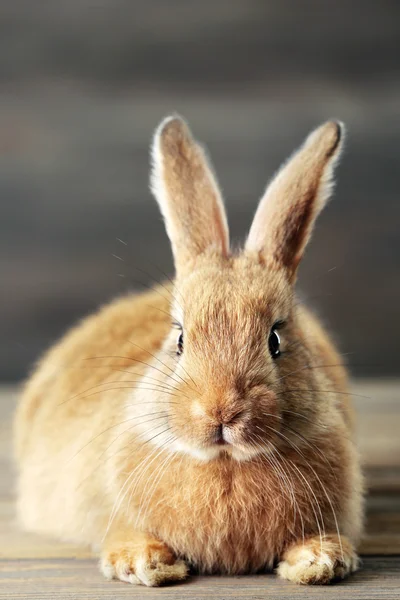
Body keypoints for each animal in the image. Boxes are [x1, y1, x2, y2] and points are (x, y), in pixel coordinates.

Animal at [13, 116, 362, 584]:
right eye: (179, 338)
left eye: (275, 340)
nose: (220, 410)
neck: (225, 462)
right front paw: (143, 561)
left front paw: (320, 560)